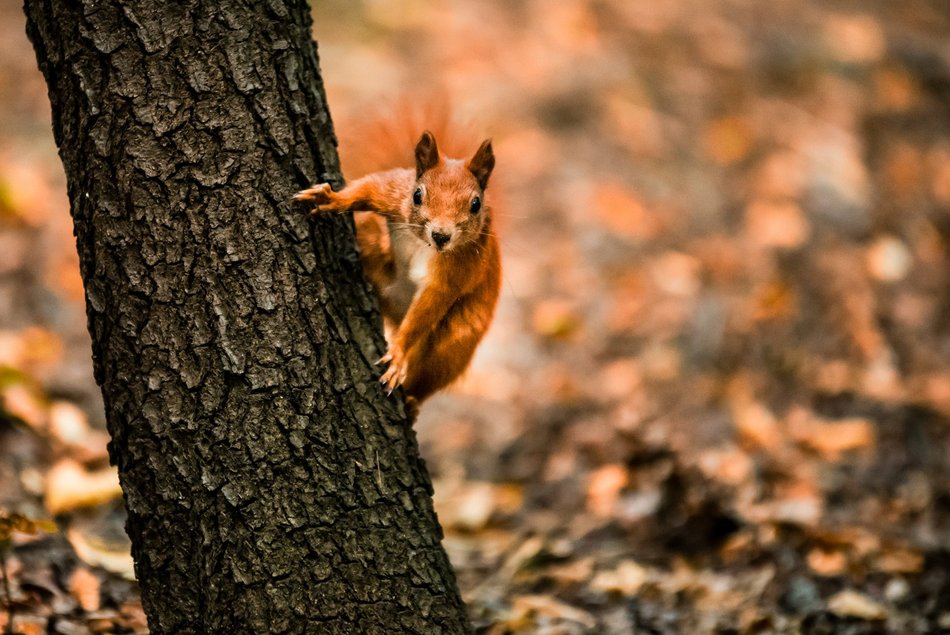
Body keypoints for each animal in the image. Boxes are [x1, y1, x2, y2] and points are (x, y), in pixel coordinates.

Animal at [296, 132, 506, 414]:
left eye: (476, 204)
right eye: (417, 195)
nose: (441, 236)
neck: (423, 243)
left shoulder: (460, 266)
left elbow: (429, 306)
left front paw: (397, 354)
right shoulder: (394, 192)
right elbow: (368, 187)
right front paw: (332, 200)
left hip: (454, 343)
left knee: (432, 374)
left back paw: (412, 400)